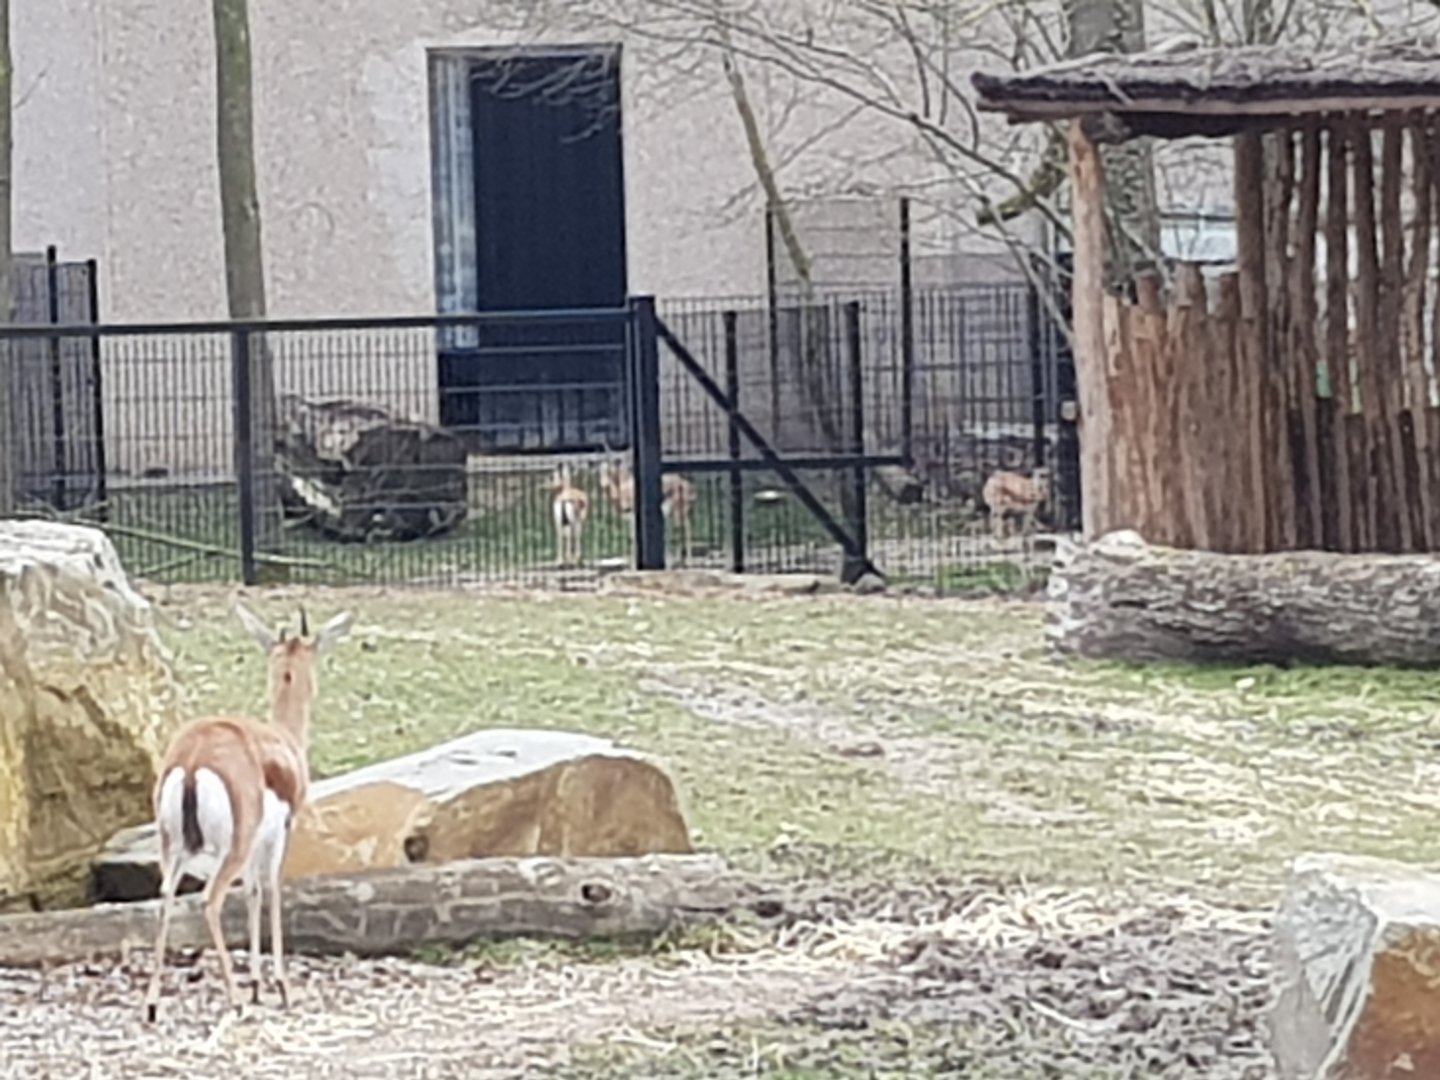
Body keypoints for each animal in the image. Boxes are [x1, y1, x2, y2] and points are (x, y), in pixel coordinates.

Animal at [142, 602, 354, 1022]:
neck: (283, 742)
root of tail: (193, 758)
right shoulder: (281, 831)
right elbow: (272, 889)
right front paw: (280, 987)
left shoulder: (258, 841)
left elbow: (254, 892)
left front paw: (257, 984)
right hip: (230, 850)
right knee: (210, 900)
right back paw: (235, 999)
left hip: (173, 847)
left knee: (164, 898)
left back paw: (154, 1003)